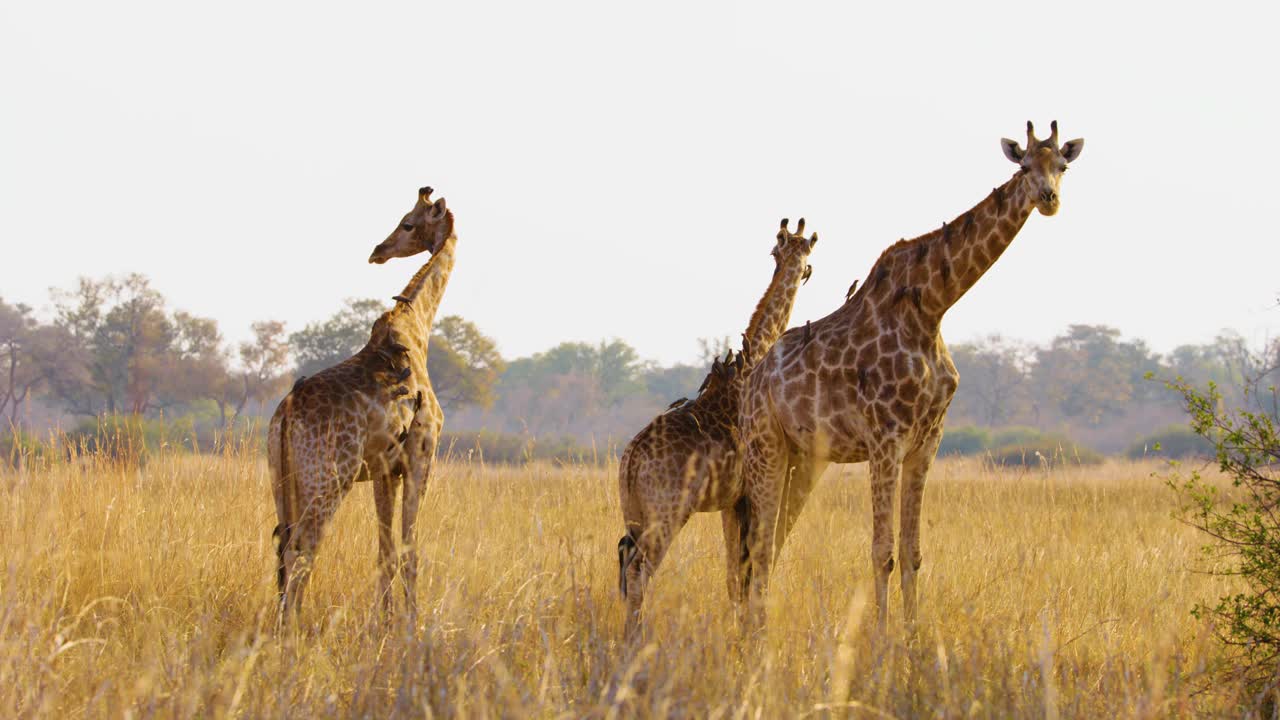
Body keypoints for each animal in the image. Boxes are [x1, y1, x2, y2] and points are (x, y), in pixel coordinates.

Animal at [614, 215, 814, 635]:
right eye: (802, 257)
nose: (802, 270)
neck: (751, 358)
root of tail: (631, 461)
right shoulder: (749, 493)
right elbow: (746, 572)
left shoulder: (731, 500)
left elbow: (734, 577)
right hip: (667, 514)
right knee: (640, 570)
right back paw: (634, 641)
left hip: (634, 512)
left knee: (624, 560)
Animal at [737, 121, 1085, 627]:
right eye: (1023, 165)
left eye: (1062, 166)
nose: (1048, 198)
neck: (932, 307)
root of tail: (753, 383)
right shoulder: (885, 439)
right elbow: (881, 550)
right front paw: (881, 640)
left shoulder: (927, 442)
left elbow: (913, 551)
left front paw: (914, 635)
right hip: (765, 447)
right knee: (759, 544)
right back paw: (754, 633)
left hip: (804, 457)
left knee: (773, 541)